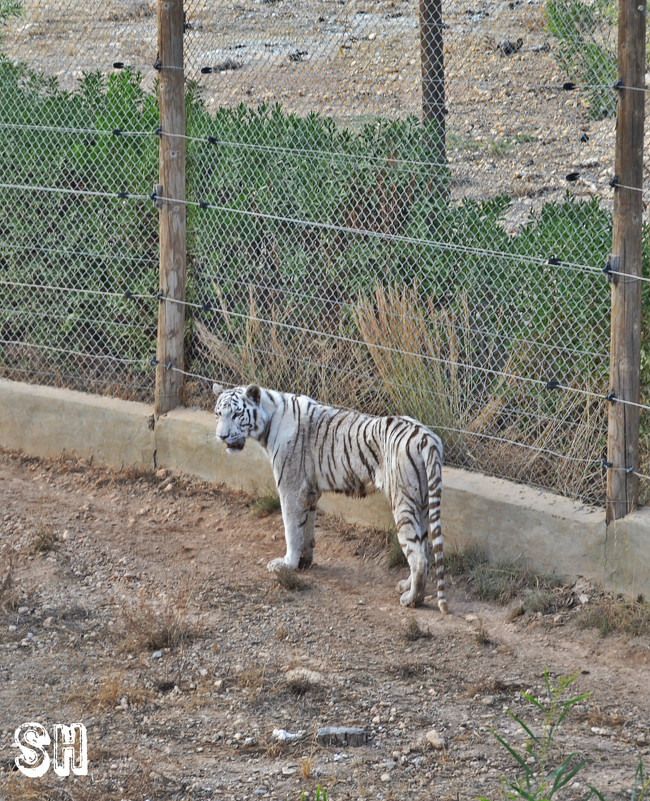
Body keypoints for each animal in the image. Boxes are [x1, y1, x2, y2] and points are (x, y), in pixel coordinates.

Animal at [213, 384, 446, 608]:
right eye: (218, 414)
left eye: (236, 414)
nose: (221, 436)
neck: (269, 421)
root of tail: (427, 438)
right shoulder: (309, 492)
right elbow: (306, 529)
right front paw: (304, 562)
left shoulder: (290, 488)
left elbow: (291, 530)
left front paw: (287, 564)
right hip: (422, 505)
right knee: (424, 551)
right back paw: (407, 586)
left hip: (404, 502)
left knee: (419, 558)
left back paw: (411, 599)